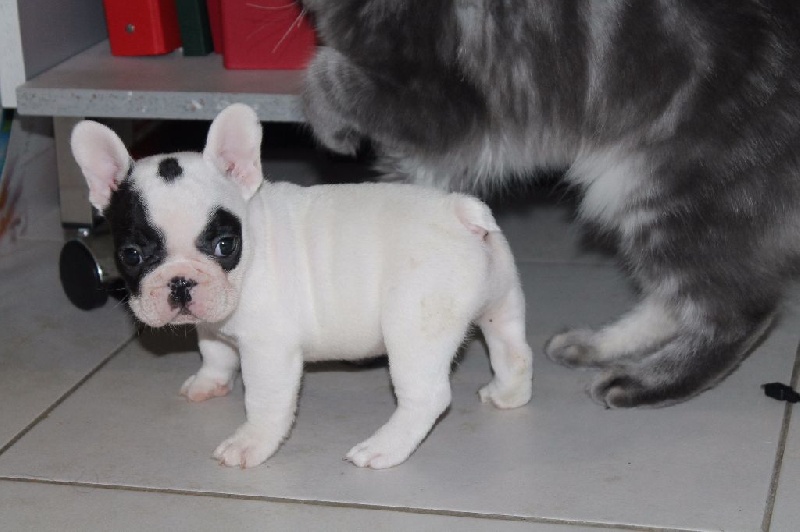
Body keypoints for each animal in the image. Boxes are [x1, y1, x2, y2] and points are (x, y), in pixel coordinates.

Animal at [69, 103, 533, 469]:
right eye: (131, 255)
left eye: (224, 244)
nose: (181, 281)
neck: (252, 246)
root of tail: (460, 211)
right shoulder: (213, 321)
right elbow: (214, 352)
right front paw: (209, 382)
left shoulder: (268, 350)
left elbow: (264, 402)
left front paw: (250, 443)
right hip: (501, 300)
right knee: (513, 350)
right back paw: (508, 394)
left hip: (415, 327)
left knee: (428, 396)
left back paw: (383, 448)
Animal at [300, 0, 800, 408]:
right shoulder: (424, 156)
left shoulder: (443, 99)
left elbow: (326, 74)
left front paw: (329, 126)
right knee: (676, 299)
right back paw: (597, 346)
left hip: (672, 192)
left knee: (740, 309)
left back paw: (641, 382)